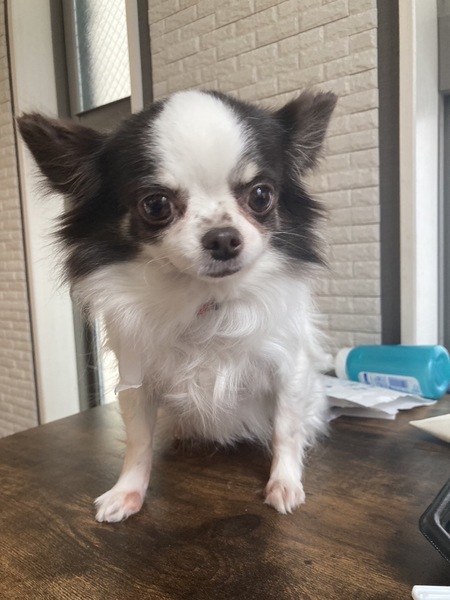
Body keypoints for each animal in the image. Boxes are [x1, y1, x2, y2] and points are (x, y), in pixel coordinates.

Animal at [18, 89, 336, 522]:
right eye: (156, 205)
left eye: (261, 195)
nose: (223, 237)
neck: (205, 298)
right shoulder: (137, 379)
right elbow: (138, 441)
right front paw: (127, 491)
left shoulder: (289, 367)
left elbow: (286, 428)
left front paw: (284, 482)